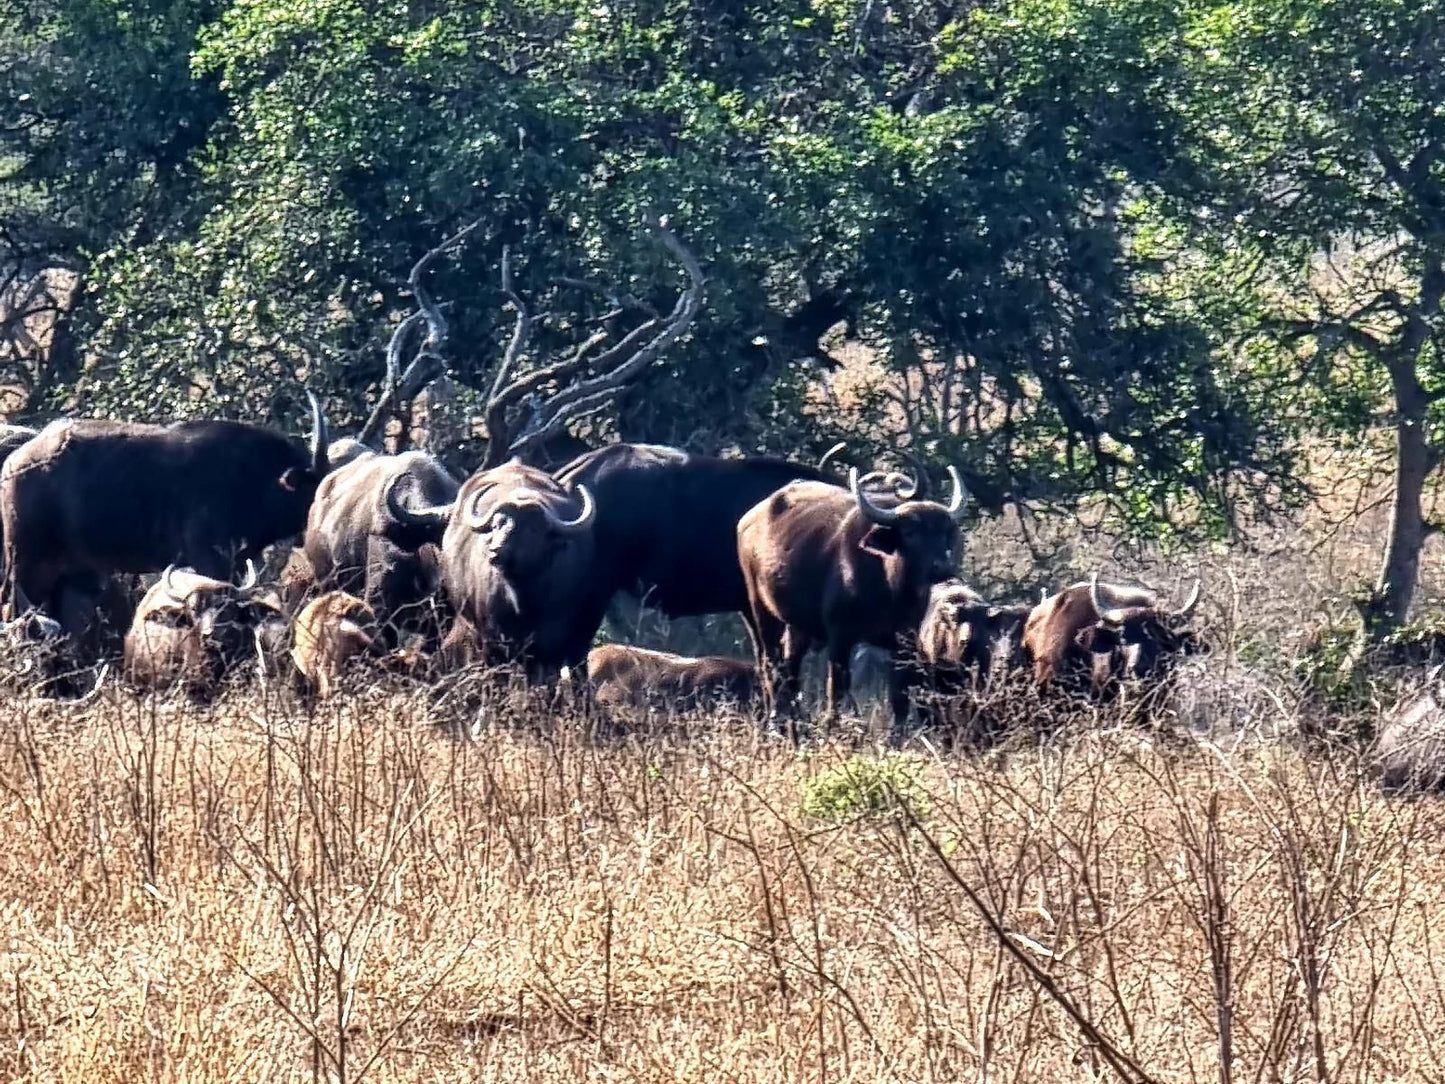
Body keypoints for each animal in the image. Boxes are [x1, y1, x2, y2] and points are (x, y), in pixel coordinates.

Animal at [384, 462, 598, 682]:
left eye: (533, 529)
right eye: (496, 524)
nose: (496, 550)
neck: (522, 600)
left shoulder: (551, 643)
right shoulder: (491, 641)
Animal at [739, 468, 965, 740]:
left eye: (944, 533)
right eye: (910, 533)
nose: (942, 567)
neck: (890, 590)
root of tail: (749, 519)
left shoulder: (904, 644)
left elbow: (899, 696)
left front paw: (897, 737)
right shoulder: (840, 636)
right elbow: (837, 687)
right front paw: (834, 727)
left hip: (797, 624)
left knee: (790, 662)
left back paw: (795, 719)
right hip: (759, 608)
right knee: (769, 661)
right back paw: (776, 722)